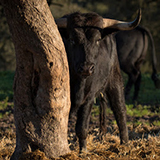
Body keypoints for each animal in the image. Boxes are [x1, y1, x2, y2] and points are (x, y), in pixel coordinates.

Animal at [55, 10, 141, 152]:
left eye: (97, 40)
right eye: (72, 40)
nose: (86, 67)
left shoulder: (89, 97)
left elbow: (82, 127)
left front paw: (83, 150)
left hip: (114, 80)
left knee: (120, 110)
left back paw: (125, 144)